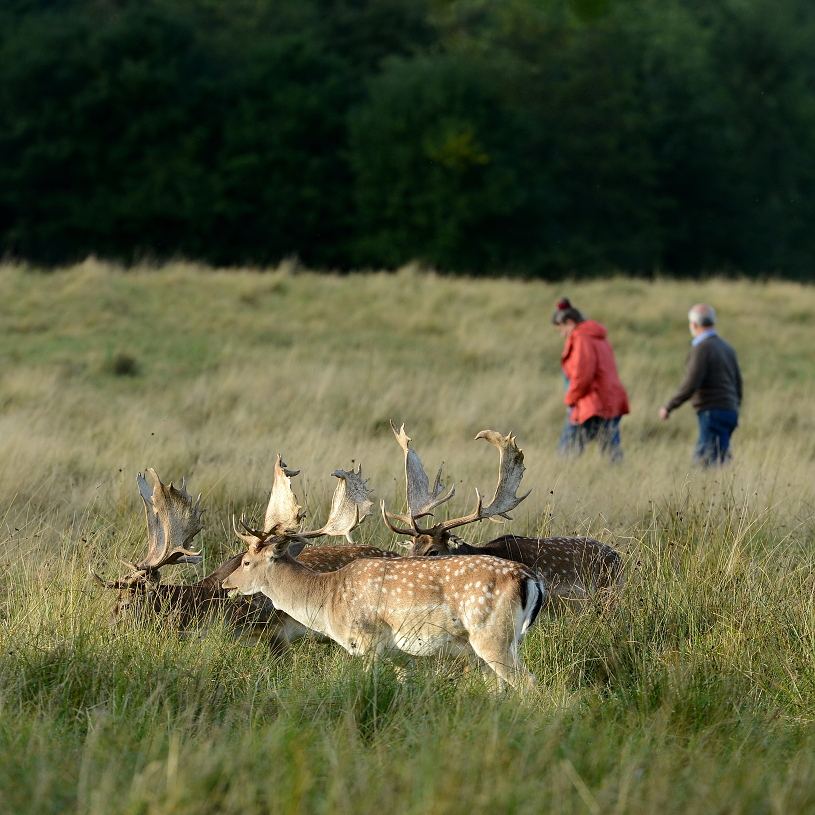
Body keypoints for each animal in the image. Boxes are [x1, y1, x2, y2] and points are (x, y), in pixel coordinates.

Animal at [223, 455, 546, 690]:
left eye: (246, 562)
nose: (227, 584)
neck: (328, 599)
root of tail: (530, 579)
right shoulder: (400, 655)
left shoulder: (368, 641)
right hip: (508, 641)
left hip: (492, 636)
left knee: (529, 684)